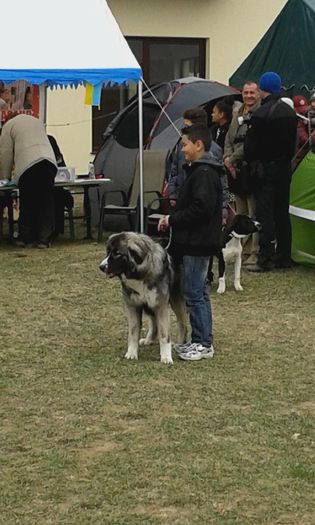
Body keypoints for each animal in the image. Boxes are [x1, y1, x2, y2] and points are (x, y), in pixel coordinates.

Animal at [100, 231, 186, 362]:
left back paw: (179, 344)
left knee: (182, 322)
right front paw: (131, 353)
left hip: (176, 301)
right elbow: (133, 332)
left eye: (117, 254)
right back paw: (149, 340)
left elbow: (164, 334)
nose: (101, 267)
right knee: (154, 322)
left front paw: (166, 357)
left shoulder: (160, 305)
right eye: (108, 251)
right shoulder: (133, 305)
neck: (139, 274)